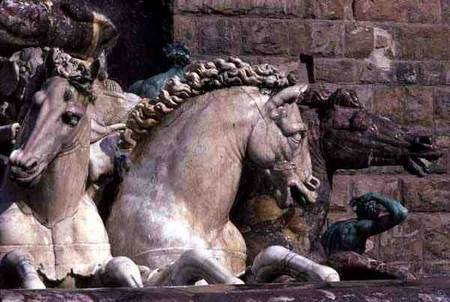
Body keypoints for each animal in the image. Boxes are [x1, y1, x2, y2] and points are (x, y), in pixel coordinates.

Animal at [105, 57, 338, 284]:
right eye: (299, 135)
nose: (312, 185)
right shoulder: (154, 272)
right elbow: (194, 262)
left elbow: (270, 254)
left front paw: (324, 273)